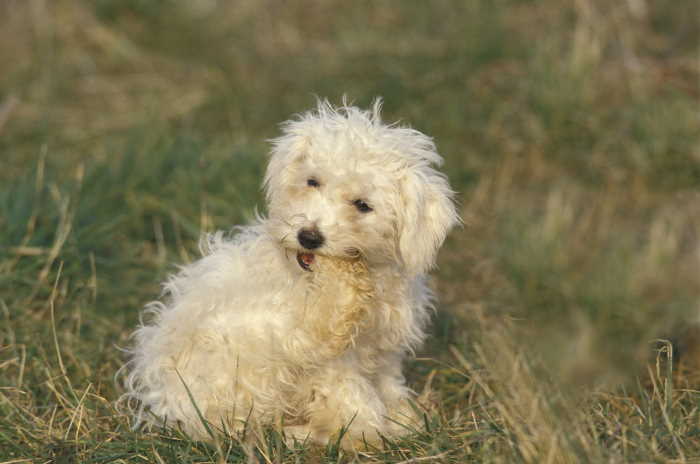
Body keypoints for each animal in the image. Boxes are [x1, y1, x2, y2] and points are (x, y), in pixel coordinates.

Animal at [120, 99, 460, 448]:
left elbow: (386, 385)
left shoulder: (383, 347)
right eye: (313, 181)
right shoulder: (321, 354)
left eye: (362, 205)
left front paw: (403, 418)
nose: (308, 236)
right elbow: (354, 399)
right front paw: (368, 431)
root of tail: (167, 407)